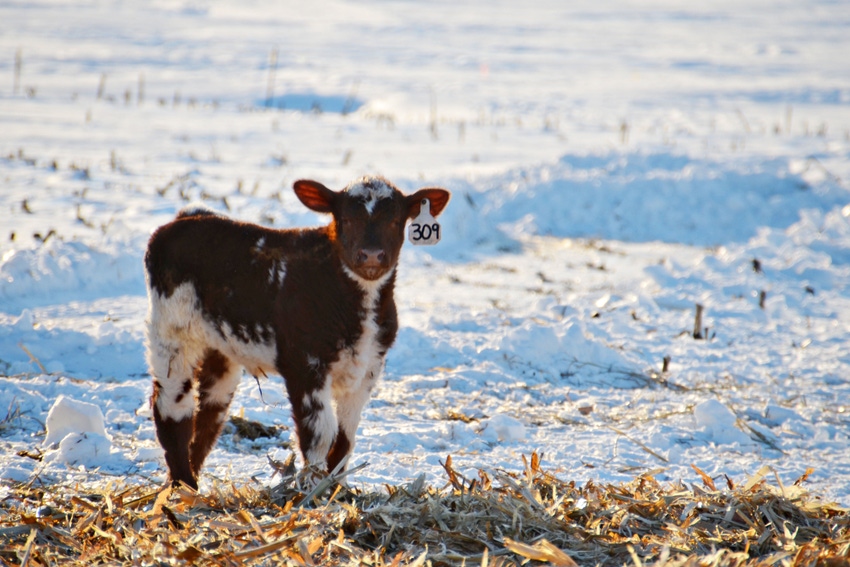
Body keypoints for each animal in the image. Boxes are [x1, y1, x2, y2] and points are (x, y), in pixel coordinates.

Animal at [144, 176, 450, 488]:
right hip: (173, 331)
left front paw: (338, 488)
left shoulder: (369, 366)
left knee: (210, 411)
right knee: (172, 405)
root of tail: (186, 218)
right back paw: (183, 485)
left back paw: (191, 479)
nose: (372, 256)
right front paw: (312, 488)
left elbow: (345, 438)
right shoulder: (305, 364)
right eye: (346, 219)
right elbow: (319, 434)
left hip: (220, 347)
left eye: (395, 220)